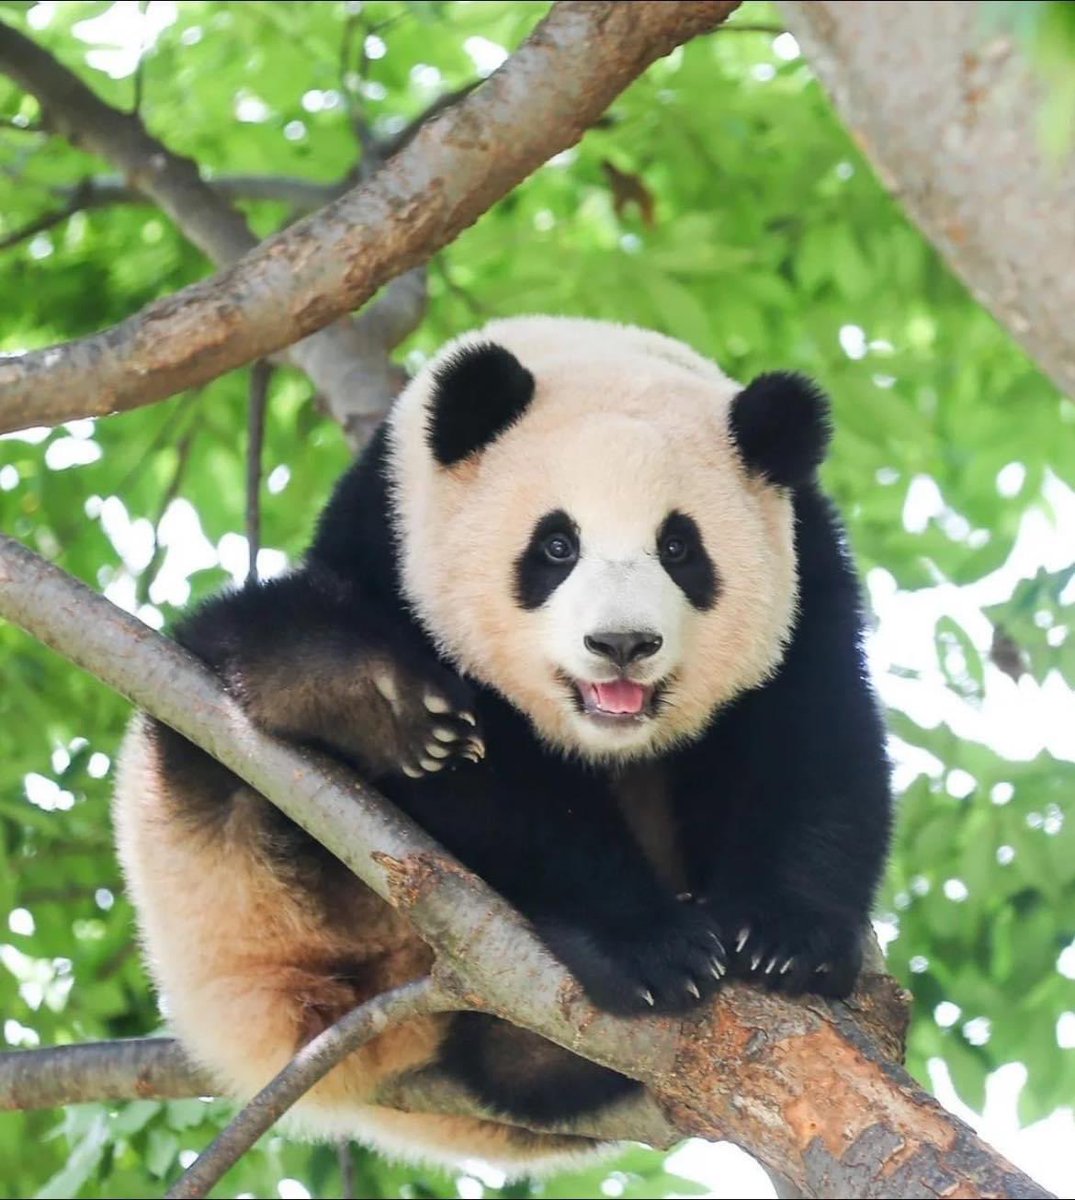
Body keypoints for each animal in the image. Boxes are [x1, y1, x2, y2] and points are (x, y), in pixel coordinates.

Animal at [113, 315, 892, 1175]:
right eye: (555, 547)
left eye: (679, 549)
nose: (622, 644)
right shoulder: (392, 539)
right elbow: (498, 798)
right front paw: (649, 949)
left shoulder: (808, 567)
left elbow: (814, 738)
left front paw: (787, 940)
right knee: (226, 681)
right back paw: (352, 693)